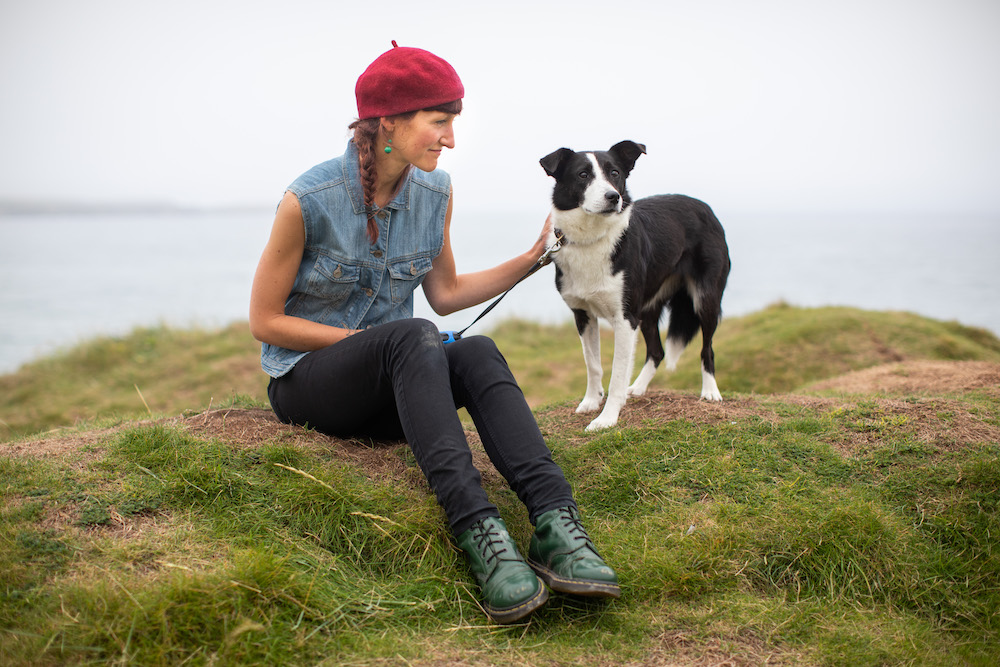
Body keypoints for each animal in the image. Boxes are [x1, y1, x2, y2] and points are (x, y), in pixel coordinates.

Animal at [544, 142, 732, 434]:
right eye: (583, 175)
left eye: (615, 173)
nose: (613, 197)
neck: (592, 239)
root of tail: (704, 207)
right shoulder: (583, 315)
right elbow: (592, 364)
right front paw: (591, 402)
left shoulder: (625, 318)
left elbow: (617, 373)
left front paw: (607, 418)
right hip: (647, 308)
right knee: (657, 351)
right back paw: (638, 388)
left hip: (705, 299)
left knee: (707, 348)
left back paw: (710, 392)